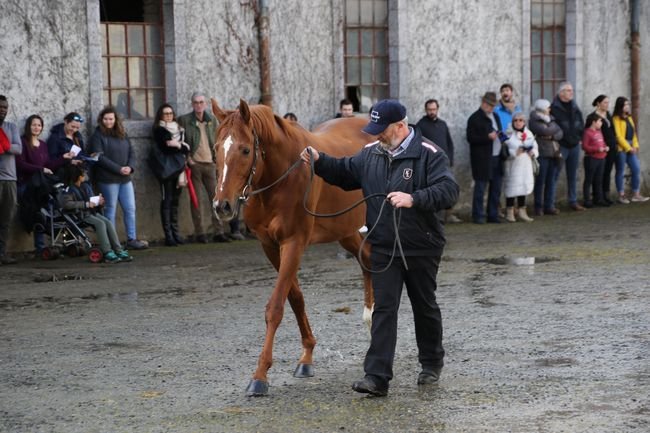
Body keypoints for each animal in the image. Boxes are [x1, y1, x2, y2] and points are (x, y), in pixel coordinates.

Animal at [211, 99, 374, 396]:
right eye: (216, 149)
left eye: (245, 149)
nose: (222, 206)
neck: (279, 177)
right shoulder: (270, 246)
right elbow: (295, 298)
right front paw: (307, 357)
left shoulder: (294, 242)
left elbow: (275, 306)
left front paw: (260, 375)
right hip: (344, 230)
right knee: (365, 259)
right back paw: (370, 319)